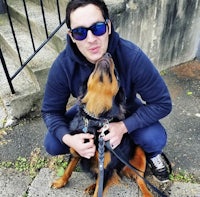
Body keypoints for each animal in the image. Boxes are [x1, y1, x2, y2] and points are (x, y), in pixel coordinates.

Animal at [50, 53, 152, 196]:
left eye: (116, 74)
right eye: (92, 69)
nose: (107, 54)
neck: (95, 118)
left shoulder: (106, 167)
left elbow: (99, 189)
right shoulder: (77, 147)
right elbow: (69, 169)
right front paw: (61, 182)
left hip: (140, 154)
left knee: (140, 179)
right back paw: (91, 186)